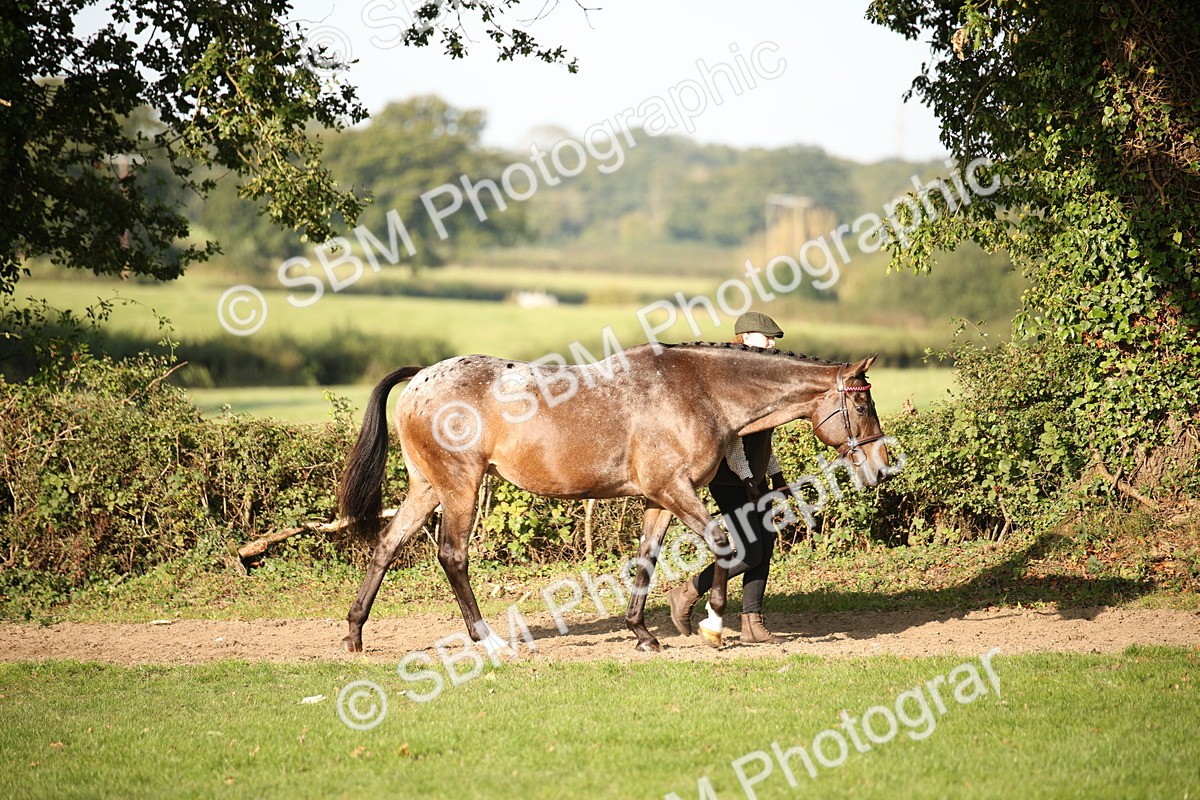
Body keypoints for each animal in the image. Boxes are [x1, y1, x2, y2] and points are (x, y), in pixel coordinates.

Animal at [337, 341, 892, 654]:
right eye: (864, 404)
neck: (700, 391)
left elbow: (646, 561)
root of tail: (420, 378)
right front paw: (712, 624)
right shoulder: (675, 490)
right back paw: (487, 638)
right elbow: (725, 545)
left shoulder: (658, 500)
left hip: (426, 489)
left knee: (386, 547)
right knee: (452, 555)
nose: (883, 466)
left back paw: (355, 635)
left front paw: (643, 634)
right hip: (460, 489)